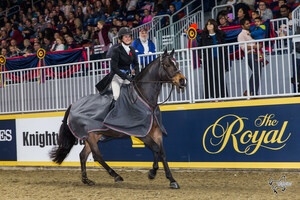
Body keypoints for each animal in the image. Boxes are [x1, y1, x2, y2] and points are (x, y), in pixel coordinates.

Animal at [49, 48, 186, 189]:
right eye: (167, 65)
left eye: (176, 63)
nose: (182, 81)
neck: (145, 98)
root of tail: (73, 105)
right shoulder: (141, 132)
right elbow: (156, 149)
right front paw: (152, 173)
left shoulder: (156, 131)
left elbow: (162, 153)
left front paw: (172, 180)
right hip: (90, 135)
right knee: (97, 156)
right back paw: (116, 176)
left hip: (94, 134)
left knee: (83, 155)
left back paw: (87, 180)